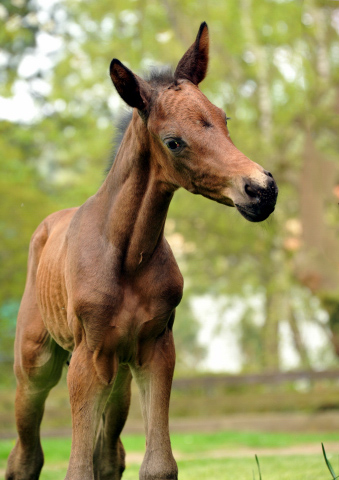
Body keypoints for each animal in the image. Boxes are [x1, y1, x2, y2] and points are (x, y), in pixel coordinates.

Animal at [6, 21, 278, 480]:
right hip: (36, 367)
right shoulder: (88, 355)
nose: (261, 190)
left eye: (222, 119)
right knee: (26, 458)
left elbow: (157, 464)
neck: (127, 255)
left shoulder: (155, 348)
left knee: (109, 454)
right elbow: (77, 469)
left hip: (119, 376)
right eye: (174, 142)